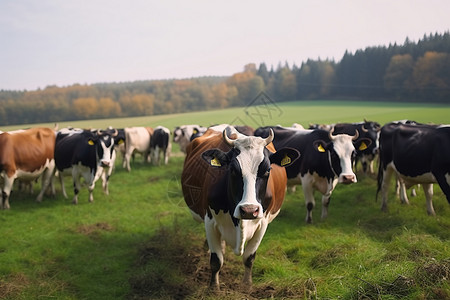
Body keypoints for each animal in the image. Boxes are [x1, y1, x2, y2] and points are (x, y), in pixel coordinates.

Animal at [179, 125, 298, 290]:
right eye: (233, 170)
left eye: (268, 170)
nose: (249, 210)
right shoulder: (209, 219)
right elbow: (216, 260)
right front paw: (213, 288)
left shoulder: (263, 222)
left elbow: (249, 257)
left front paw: (247, 285)